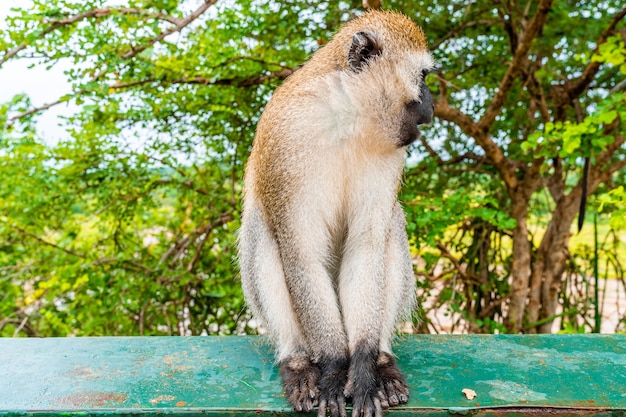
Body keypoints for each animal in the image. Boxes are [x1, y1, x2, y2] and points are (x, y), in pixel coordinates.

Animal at [236, 8, 432, 416]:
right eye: (422, 77)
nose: (431, 101)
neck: (346, 116)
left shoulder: (393, 148)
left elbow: (366, 248)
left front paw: (362, 370)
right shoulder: (288, 139)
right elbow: (301, 254)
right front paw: (333, 369)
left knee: (391, 225)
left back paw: (382, 361)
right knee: (262, 228)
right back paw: (297, 361)